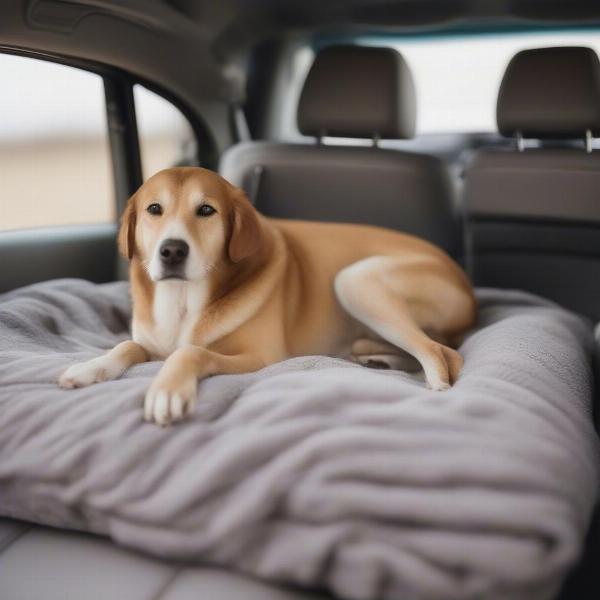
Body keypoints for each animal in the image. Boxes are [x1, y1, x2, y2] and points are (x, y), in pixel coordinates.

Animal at [58, 166, 476, 424]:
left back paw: (436, 387)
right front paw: (90, 368)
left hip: (356, 279)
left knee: (442, 352)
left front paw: (167, 389)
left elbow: (190, 352)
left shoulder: (258, 357)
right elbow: (127, 346)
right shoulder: (148, 342)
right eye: (154, 209)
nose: (172, 251)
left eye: (206, 210)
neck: (182, 299)